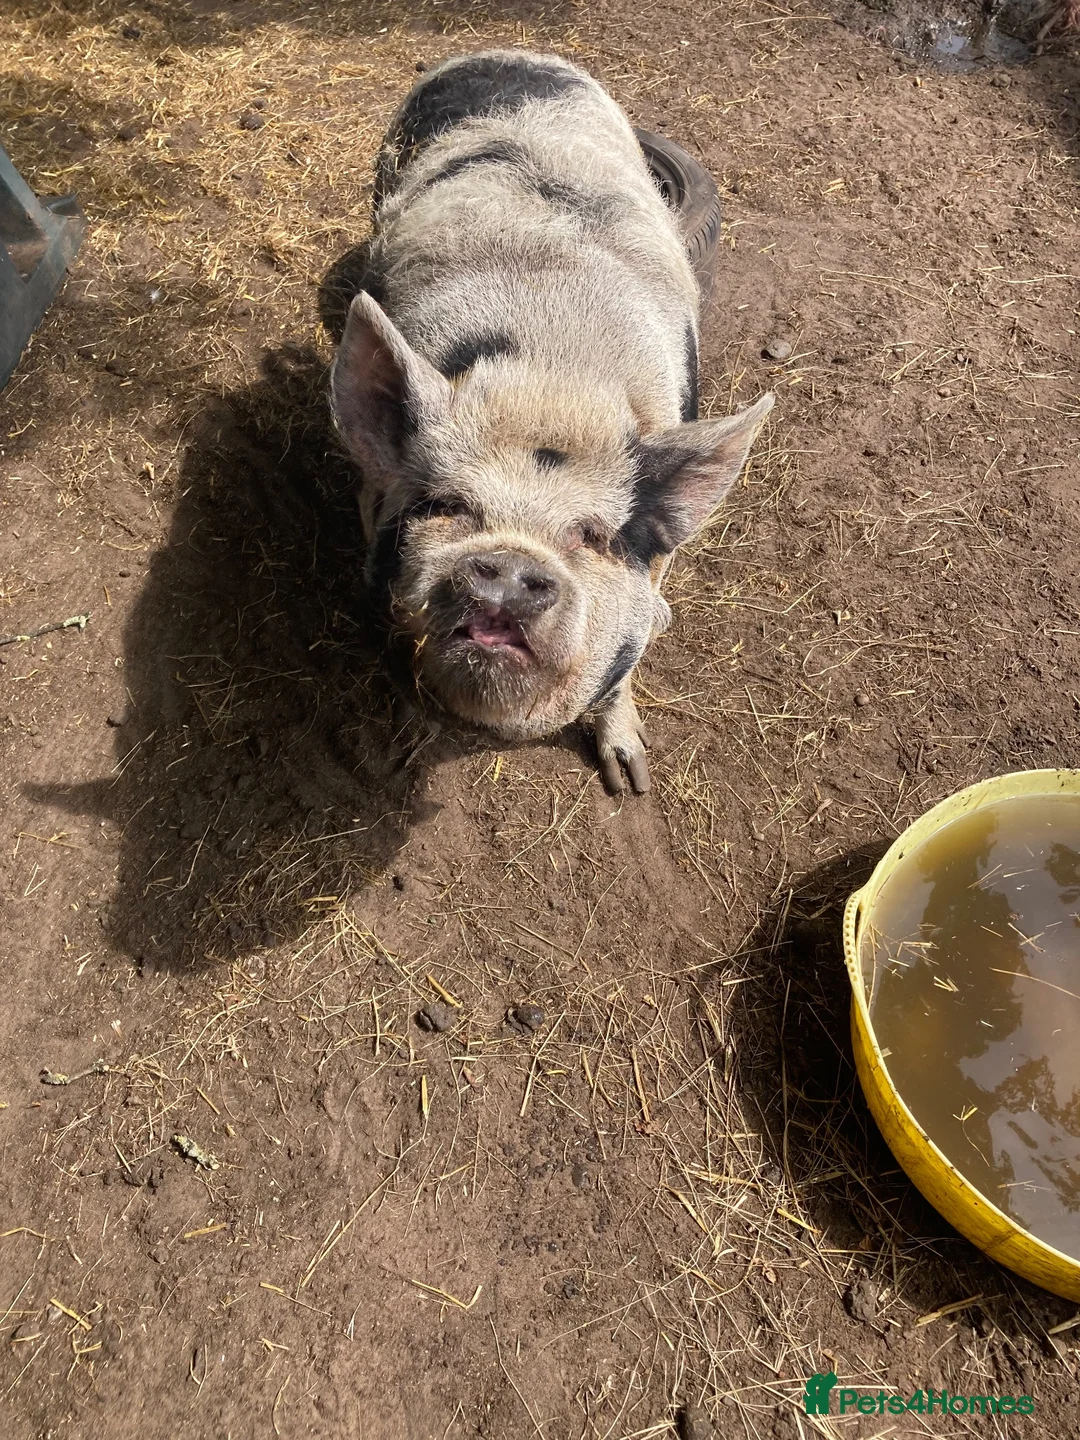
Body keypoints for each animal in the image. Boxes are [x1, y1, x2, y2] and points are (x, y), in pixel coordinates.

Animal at [330, 49, 773, 793]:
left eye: (591, 537)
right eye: (444, 506)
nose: (511, 566)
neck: (552, 378)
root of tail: (504, 52)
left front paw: (631, 778)